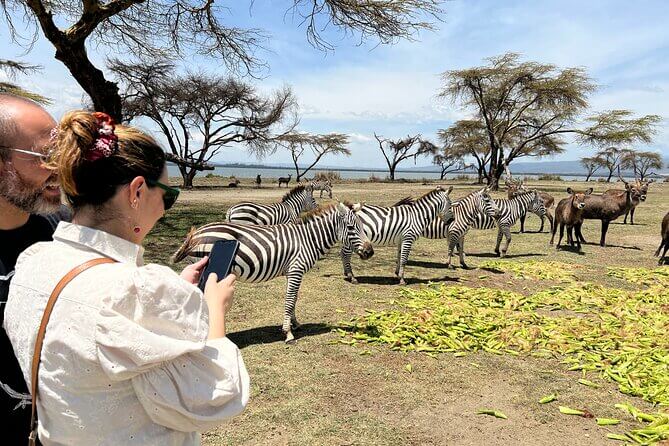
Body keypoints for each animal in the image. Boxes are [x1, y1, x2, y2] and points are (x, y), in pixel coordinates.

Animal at [170, 202, 374, 344]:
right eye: (351, 228)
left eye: (362, 226)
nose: (370, 252)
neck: (308, 239)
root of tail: (196, 233)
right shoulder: (296, 269)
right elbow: (290, 299)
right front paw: (288, 332)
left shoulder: (292, 272)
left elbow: (294, 298)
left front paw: (295, 324)